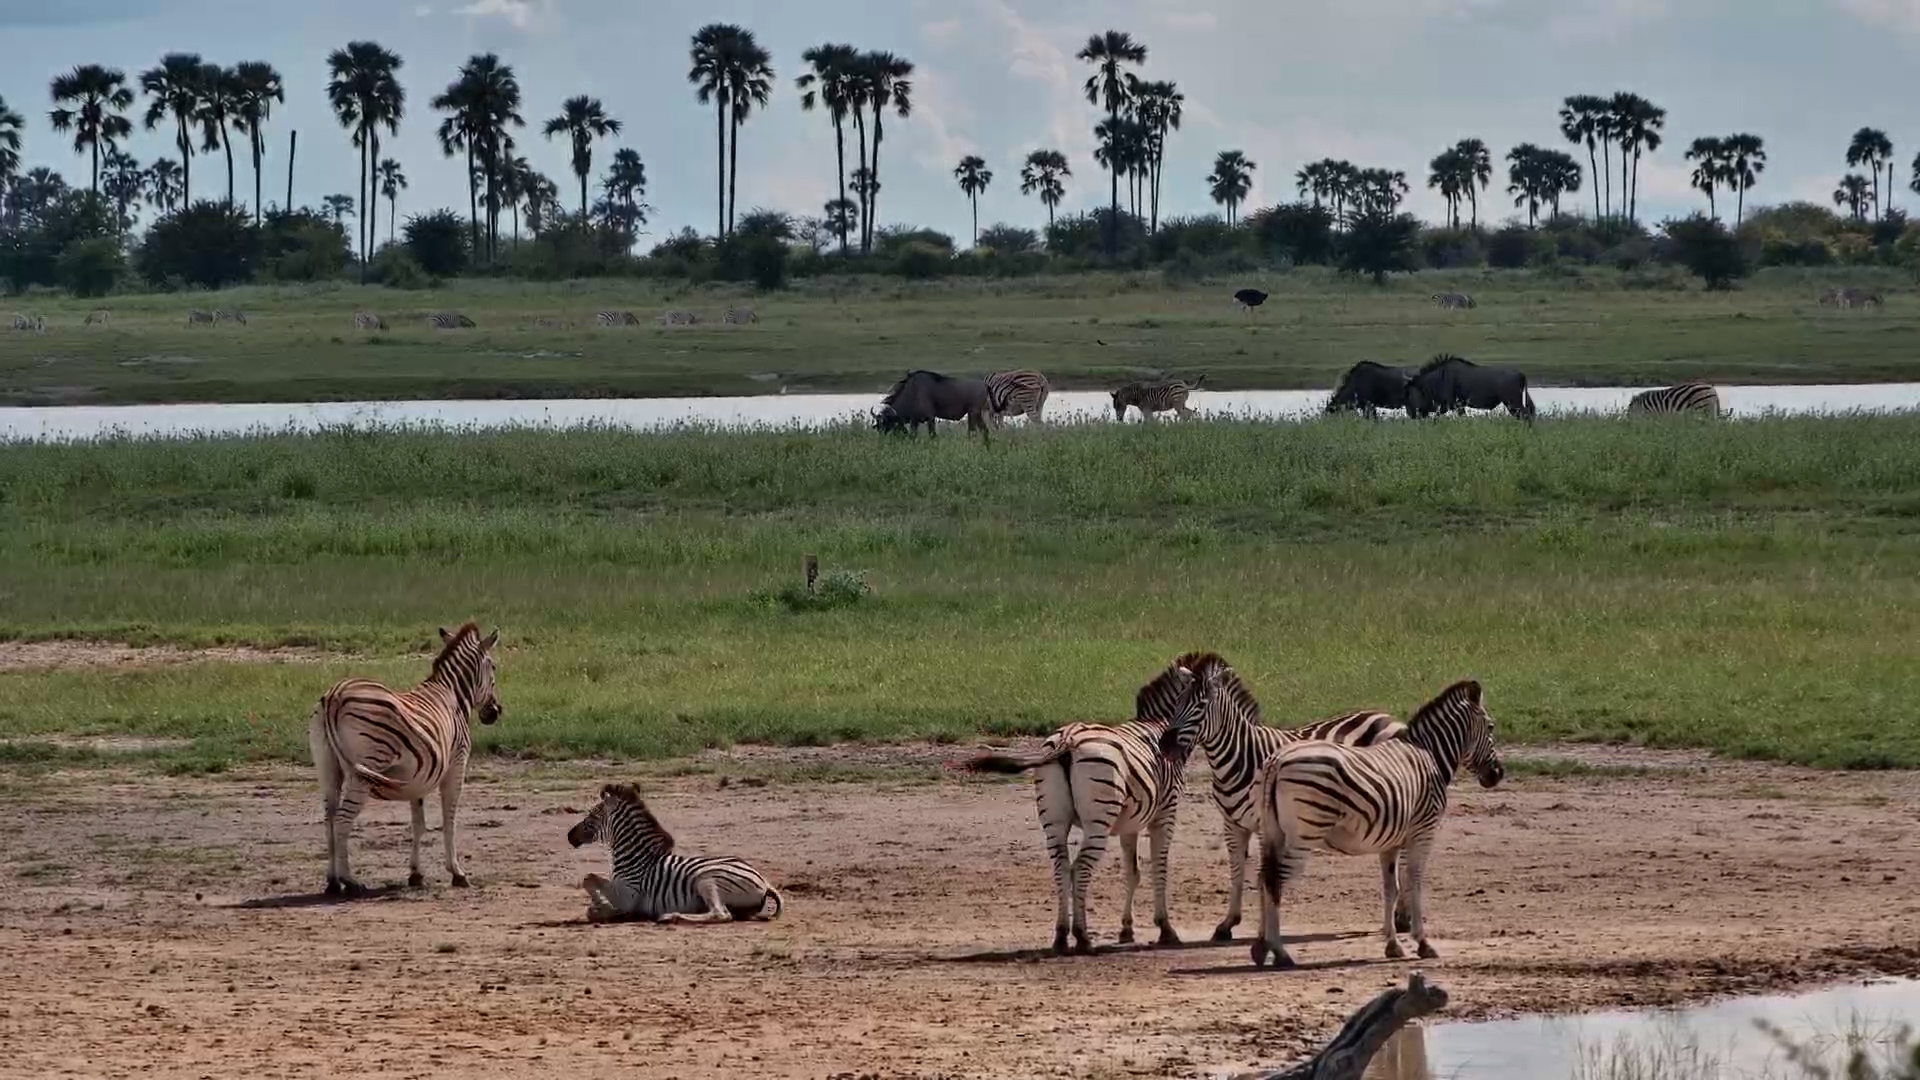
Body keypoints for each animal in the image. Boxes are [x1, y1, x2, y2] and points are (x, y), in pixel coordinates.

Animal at [306, 622, 503, 897]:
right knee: (343, 820)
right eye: (493, 666)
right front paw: (457, 872)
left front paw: (416, 874)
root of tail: (334, 695)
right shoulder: (457, 763)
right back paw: (350, 881)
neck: (452, 695)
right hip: (366, 767)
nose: (494, 712)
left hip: (328, 767)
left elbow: (419, 824)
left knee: (329, 820)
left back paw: (333, 882)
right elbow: (449, 820)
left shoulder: (419, 777)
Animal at [566, 782, 784, 924]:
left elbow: (589, 879)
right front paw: (602, 907)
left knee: (720, 914)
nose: (569, 836)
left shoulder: (628, 895)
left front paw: (606, 908)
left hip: (707, 880)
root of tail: (764, 881)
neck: (635, 857)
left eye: (592, 816)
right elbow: (590, 883)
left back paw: (672, 916)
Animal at [952, 658, 1216, 955]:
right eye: (1202, 704)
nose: (1168, 749)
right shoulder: (1165, 813)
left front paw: (1127, 929)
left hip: (1054, 819)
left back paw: (1061, 936)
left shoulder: (1131, 824)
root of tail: (1068, 739)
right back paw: (1082, 936)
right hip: (1098, 821)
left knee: (1061, 867)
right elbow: (1159, 869)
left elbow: (1132, 873)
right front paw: (1165, 929)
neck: (1155, 724)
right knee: (1079, 869)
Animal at [1133, 652, 1411, 943]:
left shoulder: (1264, 822)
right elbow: (1237, 871)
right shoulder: (1232, 823)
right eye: (1177, 703)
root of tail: (1387, 717)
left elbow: (1261, 873)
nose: (1164, 746)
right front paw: (1228, 923)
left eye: (1200, 705)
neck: (1240, 755)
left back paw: (1403, 917)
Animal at [1249, 679, 1506, 969]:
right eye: (1491, 727)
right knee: (1275, 881)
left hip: (1272, 832)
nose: (1497, 774)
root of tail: (1276, 761)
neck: (1429, 755)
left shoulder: (1390, 842)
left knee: (1263, 877)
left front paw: (1393, 945)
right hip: (1304, 834)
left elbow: (1391, 889)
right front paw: (1422, 942)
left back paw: (1260, 947)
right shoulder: (1423, 831)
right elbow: (1414, 882)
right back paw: (1279, 951)